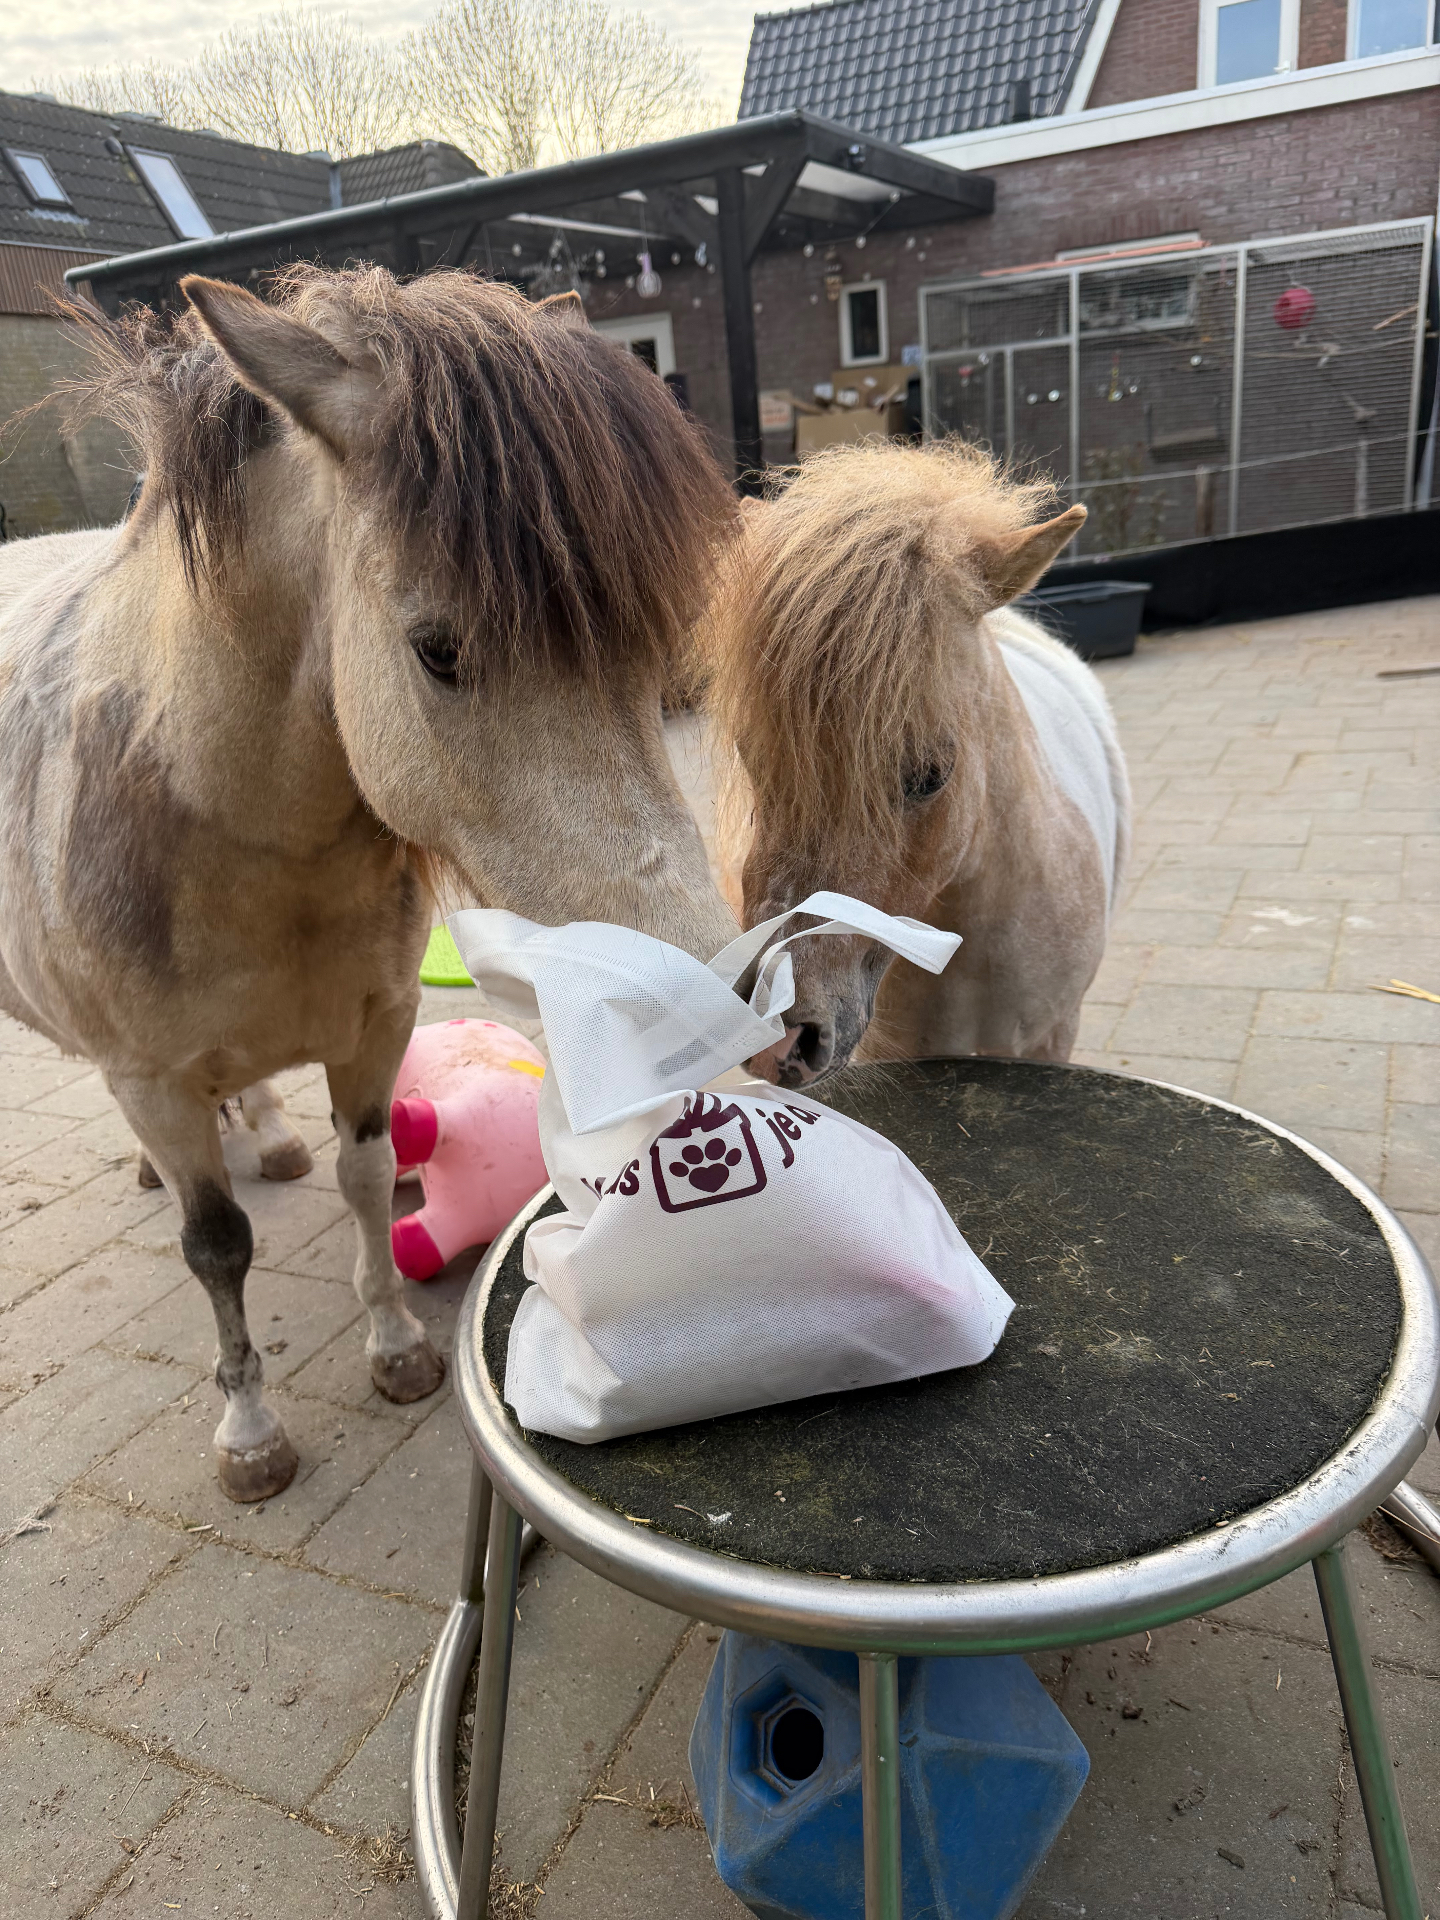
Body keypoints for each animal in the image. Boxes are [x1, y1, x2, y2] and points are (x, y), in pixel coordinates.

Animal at [0, 265, 739, 1501]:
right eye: (438, 649)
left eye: (657, 646)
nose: (699, 1018)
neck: (228, 823)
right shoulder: (151, 1080)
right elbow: (217, 1249)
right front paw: (250, 1431)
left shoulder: (377, 1028)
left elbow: (367, 1170)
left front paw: (394, 1348)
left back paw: (265, 1133)